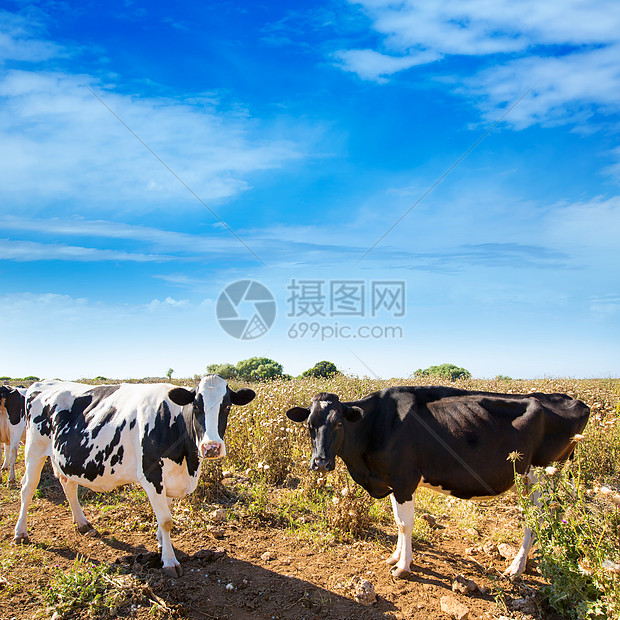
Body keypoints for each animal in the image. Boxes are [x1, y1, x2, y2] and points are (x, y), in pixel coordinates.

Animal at [15, 378, 256, 576]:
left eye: (227, 406)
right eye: (196, 406)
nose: (211, 447)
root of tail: (42, 383)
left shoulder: (169, 479)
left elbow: (164, 516)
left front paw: (162, 544)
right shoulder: (152, 474)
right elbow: (166, 520)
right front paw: (169, 561)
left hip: (64, 458)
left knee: (68, 485)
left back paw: (83, 524)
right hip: (34, 449)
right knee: (27, 488)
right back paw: (21, 532)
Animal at [288, 386, 588, 580]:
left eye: (339, 423)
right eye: (310, 425)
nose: (321, 463)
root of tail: (573, 401)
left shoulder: (404, 478)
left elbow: (405, 523)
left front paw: (404, 566)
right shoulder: (393, 481)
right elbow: (397, 520)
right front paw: (395, 556)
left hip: (542, 475)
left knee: (536, 518)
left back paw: (516, 568)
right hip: (531, 480)